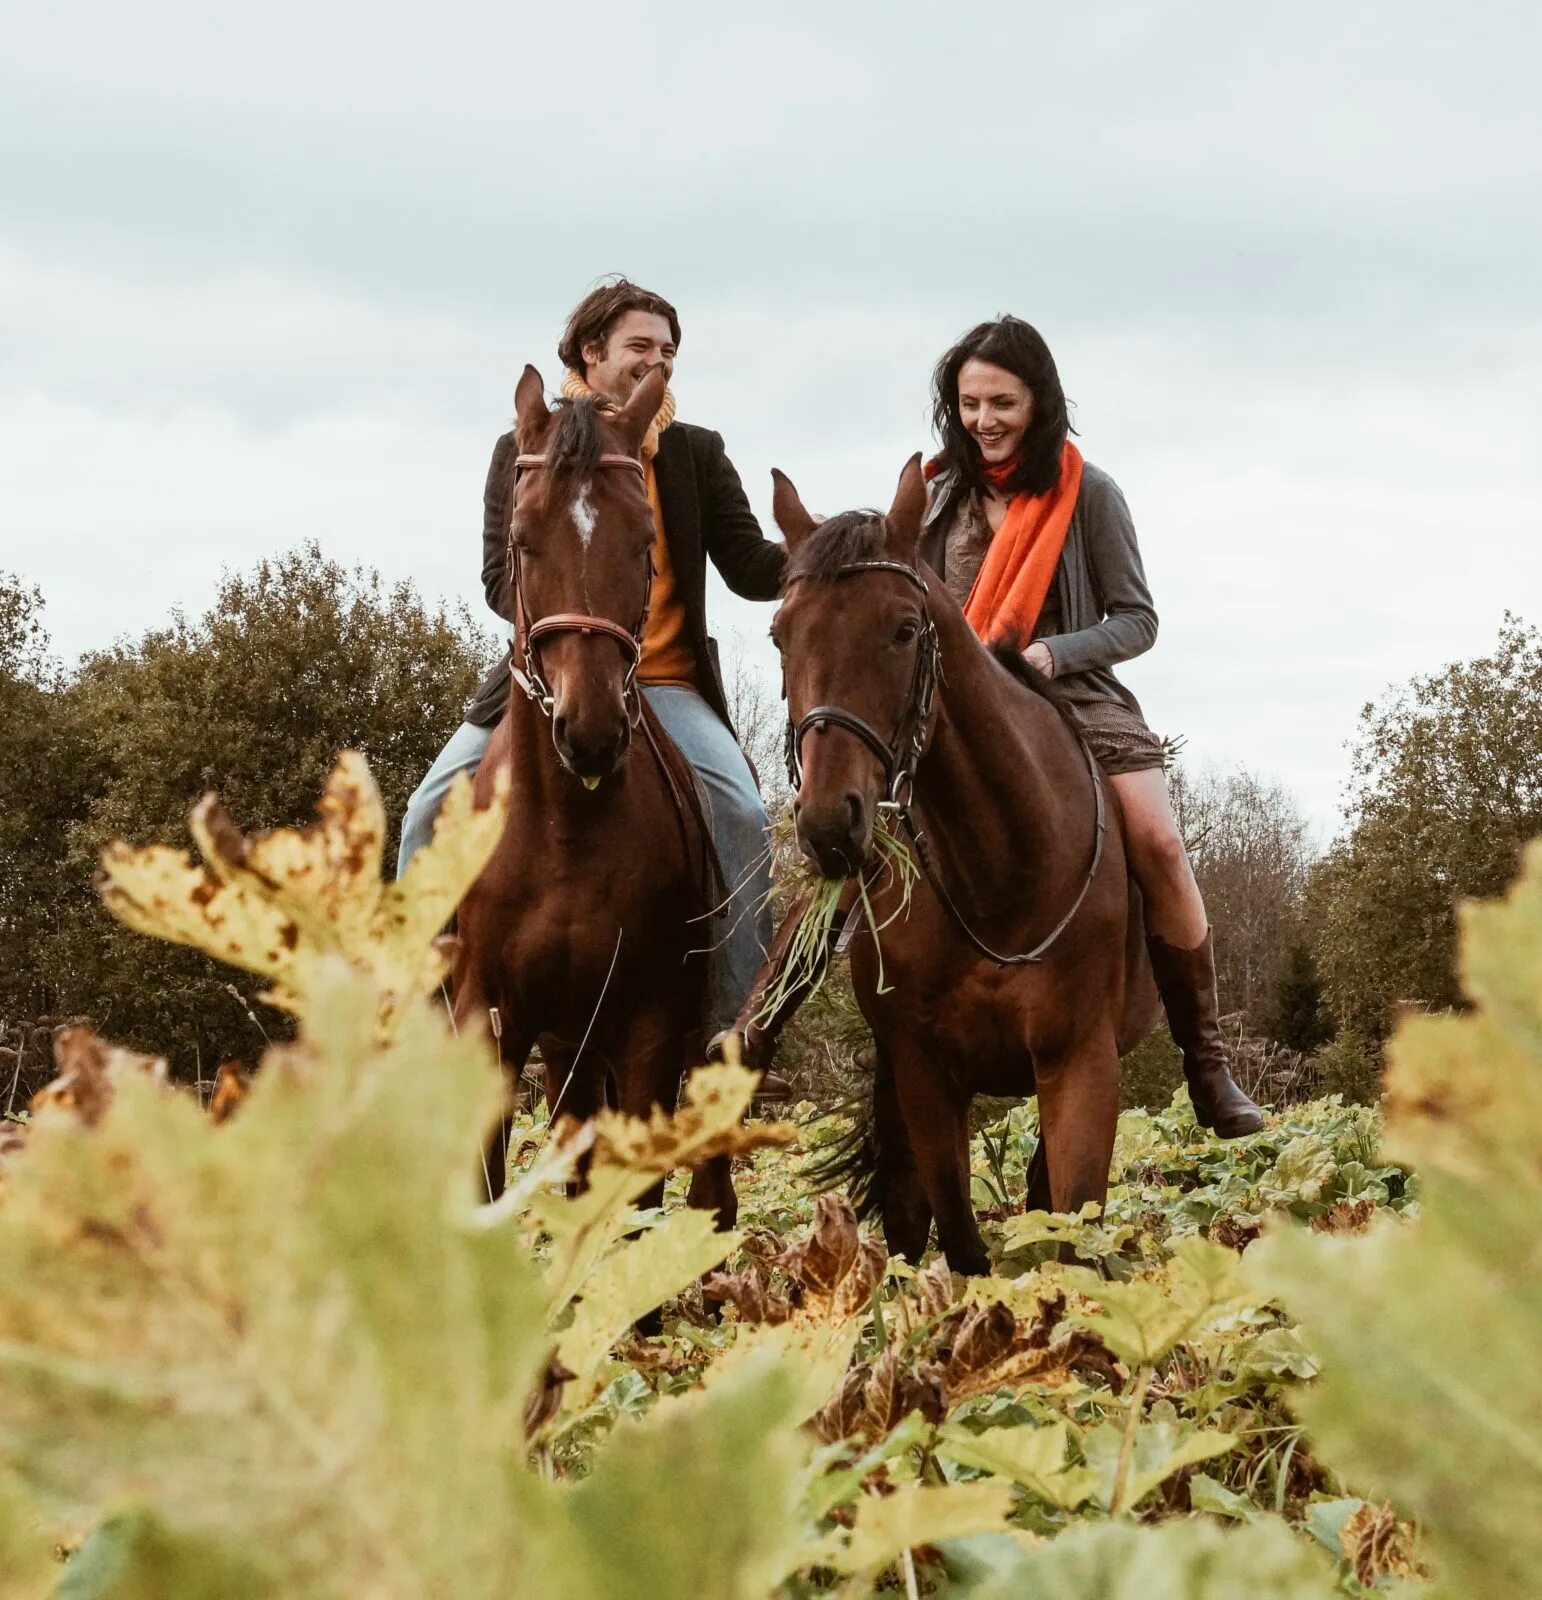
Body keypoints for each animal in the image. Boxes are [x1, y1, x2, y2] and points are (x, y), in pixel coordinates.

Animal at [451, 363, 735, 1216]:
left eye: (645, 541)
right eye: (520, 537)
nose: (591, 728)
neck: (564, 831)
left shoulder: (648, 1032)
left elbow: (634, 1211)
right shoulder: (490, 1024)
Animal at [771, 454, 1158, 1273]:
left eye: (903, 629)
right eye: (781, 634)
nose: (828, 822)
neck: (1000, 876)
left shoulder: (1081, 1066)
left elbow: (1071, 1235)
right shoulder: (923, 1074)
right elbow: (956, 1237)